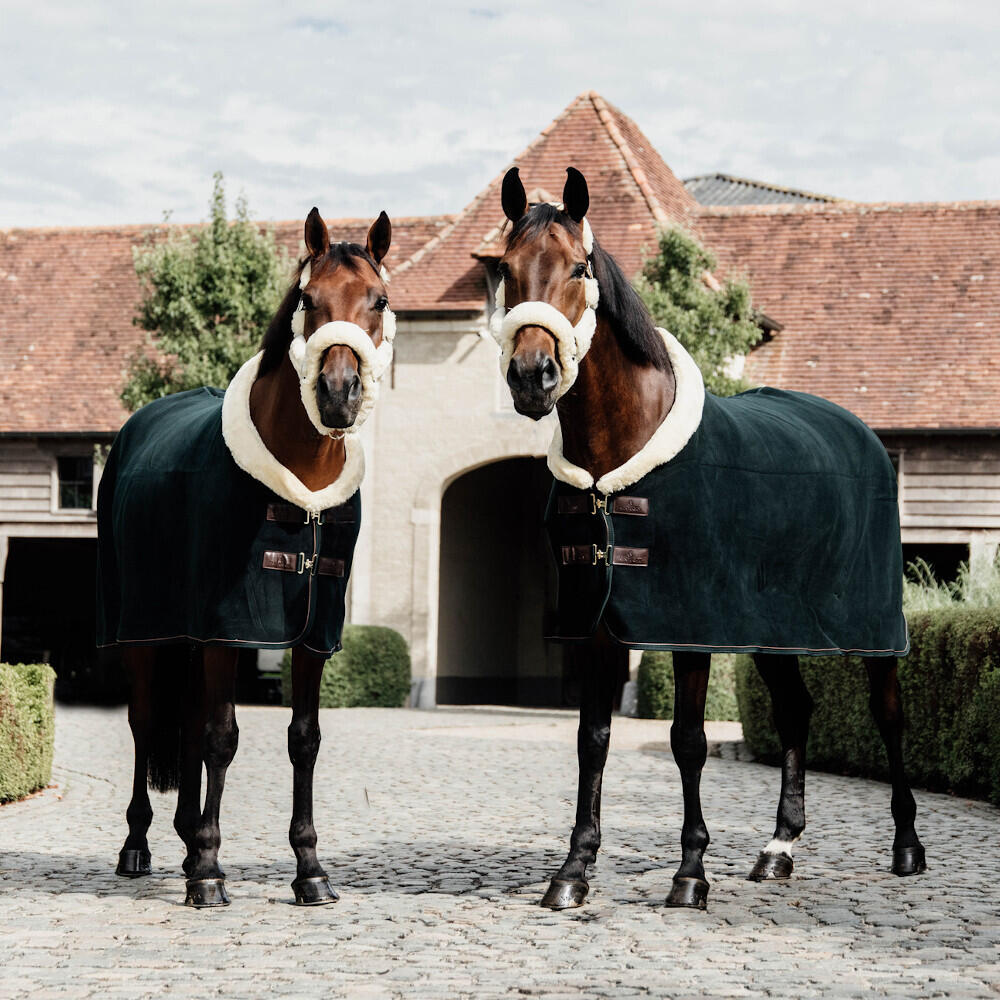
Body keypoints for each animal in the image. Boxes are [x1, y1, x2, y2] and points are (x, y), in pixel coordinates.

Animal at [97, 207, 394, 908]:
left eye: (378, 300)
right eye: (309, 300)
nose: (338, 393)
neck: (301, 485)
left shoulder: (313, 633)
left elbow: (303, 740)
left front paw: (309, 869)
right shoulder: (226, 630)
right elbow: (221, 737)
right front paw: (209, 871)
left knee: (183, 723)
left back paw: (183, 840)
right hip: (141, 631)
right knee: (146, 722)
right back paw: (140, 846)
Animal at [491, 165, 926, 911]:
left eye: (578, 267)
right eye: (506, 270)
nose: (532, 376)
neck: (620, 455)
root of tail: (863, 435)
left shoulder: (690, 623)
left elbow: (688, 739)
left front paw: (690, 872)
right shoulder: (601, 621)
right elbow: (592, 738)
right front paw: (573, 871)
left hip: (873, 629)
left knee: (889, 714)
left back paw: (906, 847)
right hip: (774, 630)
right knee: (797, 710)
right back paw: (779, 849)